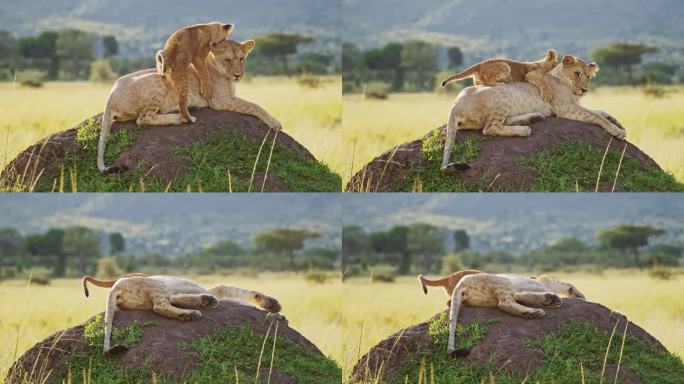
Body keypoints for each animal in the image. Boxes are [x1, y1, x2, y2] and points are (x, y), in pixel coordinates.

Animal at [82, 272, 280, 354]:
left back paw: (202, 303)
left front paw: (274, 310)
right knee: (161, 305)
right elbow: (238, 291)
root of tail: (115, 287)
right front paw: (271, 304)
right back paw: (193, 311)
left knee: (170, 300)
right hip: (156, 284)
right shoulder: (219, 289)